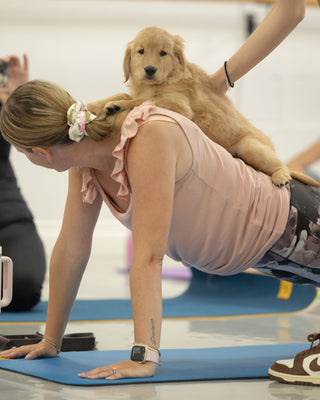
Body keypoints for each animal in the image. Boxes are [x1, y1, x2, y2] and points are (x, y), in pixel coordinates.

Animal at [89, 27, 320, 188]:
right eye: (141, 51)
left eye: (163, 53)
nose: (150, 69)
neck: (160, 82)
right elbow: (125, 94)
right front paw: (97, 104)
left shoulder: (180, 107)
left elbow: (140, 101)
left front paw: (118, 105)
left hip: (250, 147)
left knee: (281, 165)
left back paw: (281, 176)